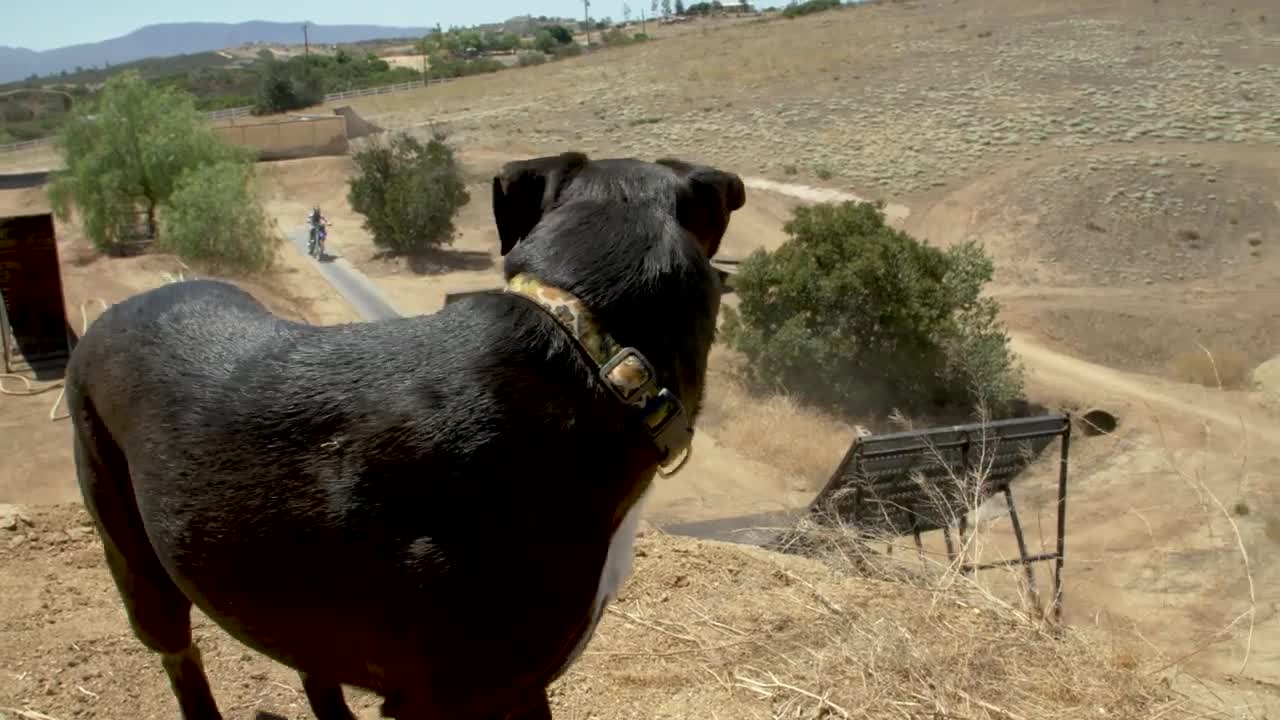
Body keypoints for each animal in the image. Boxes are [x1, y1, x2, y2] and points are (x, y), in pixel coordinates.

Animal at [64, 148, 747, 712]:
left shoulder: (514, 684)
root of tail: (107, 316)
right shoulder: (454, 695)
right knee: (180, 656)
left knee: (311, 667)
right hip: (136, 561)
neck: (589, 350)